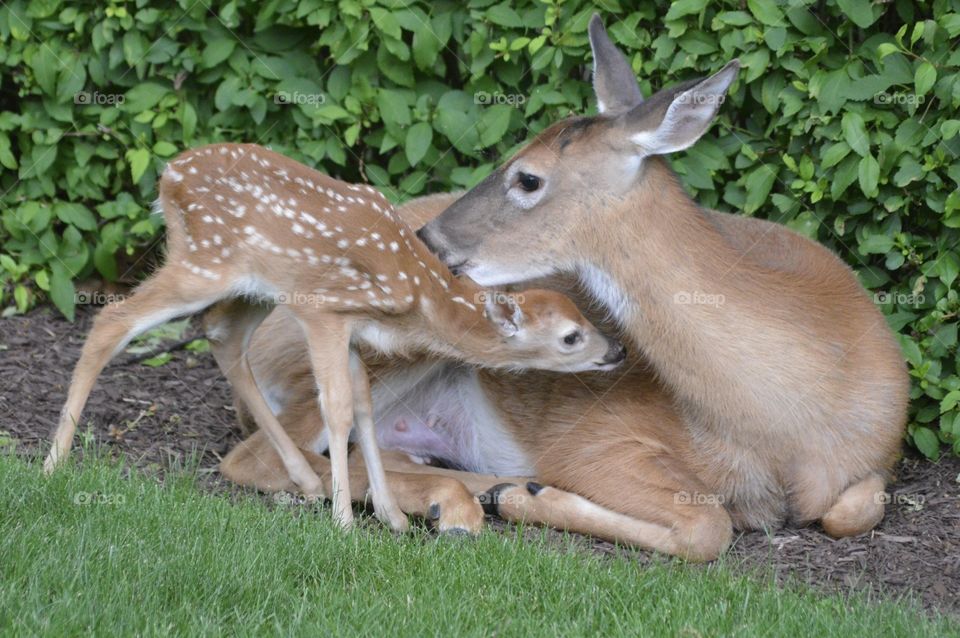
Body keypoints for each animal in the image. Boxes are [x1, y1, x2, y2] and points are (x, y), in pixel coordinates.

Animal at [42, 142, 627, 532]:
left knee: (221, 336)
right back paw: (54, 464)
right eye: (572, 337)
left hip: (254, 287)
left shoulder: (351, 326)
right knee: (112, 320)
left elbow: (363, 405)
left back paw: (304, 480)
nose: (617, 350)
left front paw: (390, 517)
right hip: (204, 262)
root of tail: (168, 176)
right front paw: (346, 523)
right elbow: (338, 409)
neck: (418, 297)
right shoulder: (324, 310)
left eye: (584, 319)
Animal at [215, 16, 908, 559]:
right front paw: (530, 495)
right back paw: (470, 499)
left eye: (527, 178)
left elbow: (850, 510)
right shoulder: (597, 438)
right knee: (258, 456)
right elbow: (707, 525)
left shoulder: (877, 459)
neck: (793, 424)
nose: (426, 240)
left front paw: (516, 494)